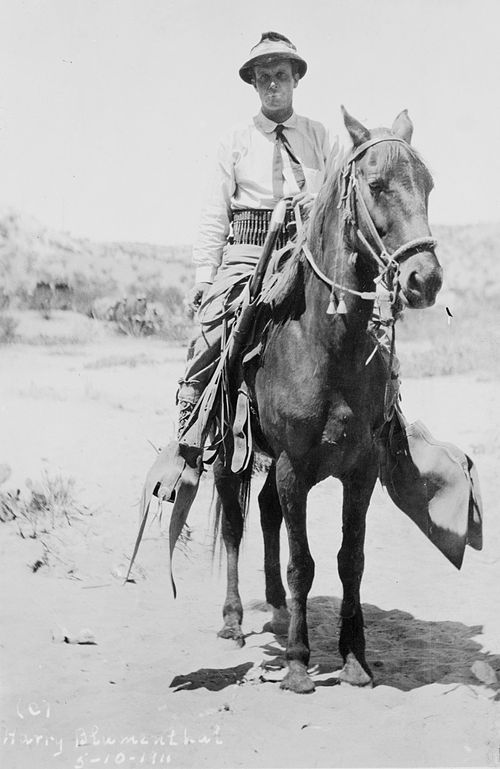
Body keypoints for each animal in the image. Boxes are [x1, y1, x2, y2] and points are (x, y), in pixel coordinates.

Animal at [211, 105, 442, 692]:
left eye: (428, 185)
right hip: (230, 453)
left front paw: (355, 659)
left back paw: (275, 608)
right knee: (235, 523)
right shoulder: (295, 466)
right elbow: (304, 563)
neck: (327, 345)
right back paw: (234, 620)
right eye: (376, 185)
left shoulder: (361, 468)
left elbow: (348, 560)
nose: (424, 280)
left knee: (266, 513)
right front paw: (298, 662)